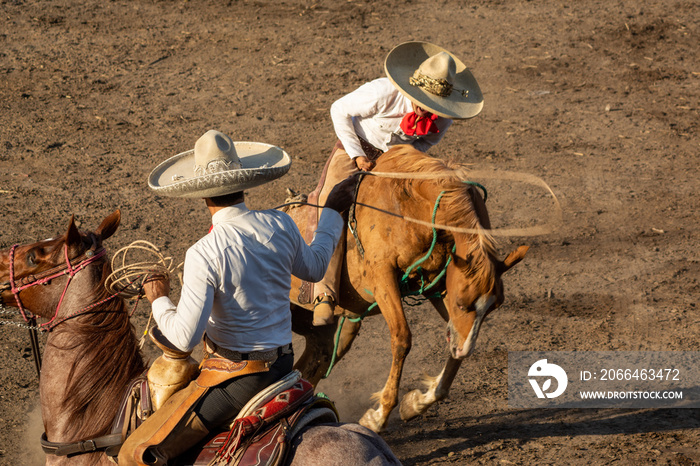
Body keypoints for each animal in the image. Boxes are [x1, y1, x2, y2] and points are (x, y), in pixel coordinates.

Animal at [284, 147, 524, 434]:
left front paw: (417, 403)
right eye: (462, 303)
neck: (411, 205)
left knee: (313, 361)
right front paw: (378, 416)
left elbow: (453, 336)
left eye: (494, 307)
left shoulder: (437, 285)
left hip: (326, 330)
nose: (463, 350)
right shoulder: (382, 275)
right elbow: (402, 339)